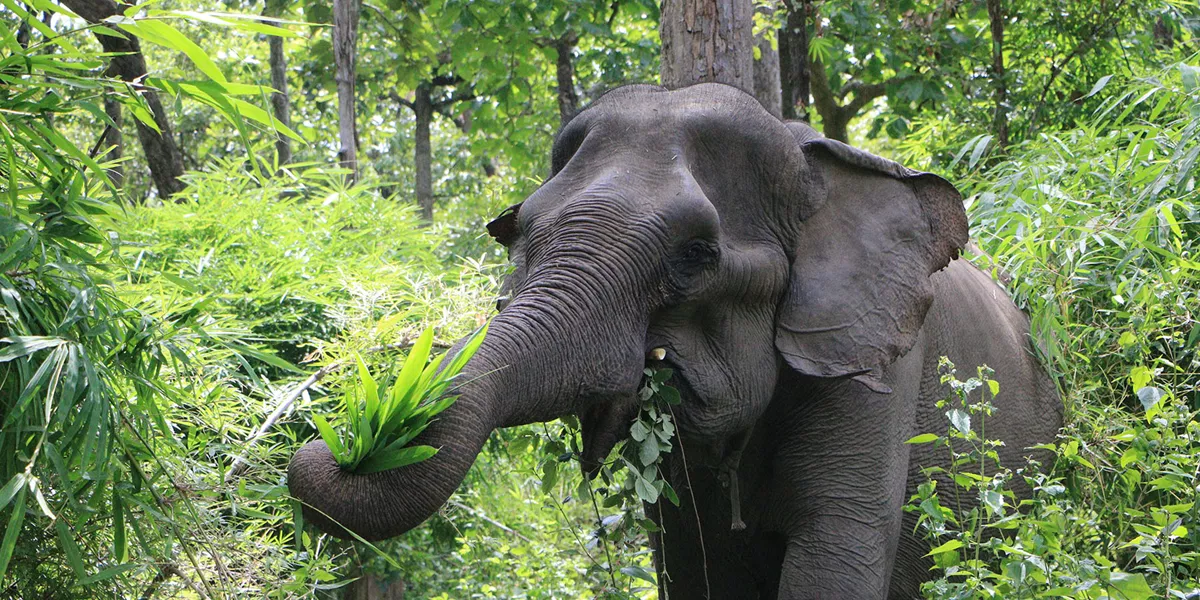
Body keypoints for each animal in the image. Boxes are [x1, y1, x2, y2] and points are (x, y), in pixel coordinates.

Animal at [288, 83, 1063, 599]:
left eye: (692, 257)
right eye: (520, 234)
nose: (345, 442)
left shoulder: (874, 372)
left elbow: (835, 546)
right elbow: (695, 565)